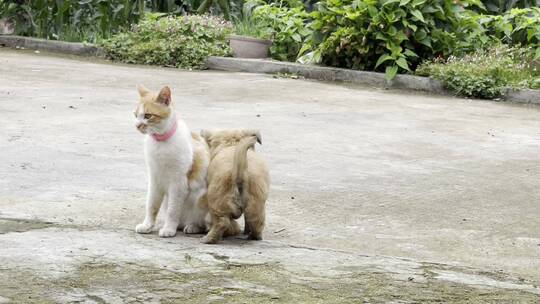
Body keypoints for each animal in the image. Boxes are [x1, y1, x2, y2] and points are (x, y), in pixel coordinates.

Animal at [133, 84, 209, 236]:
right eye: (135, 115)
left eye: (147, 116)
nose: (137, 125)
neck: (160, 142)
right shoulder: (154, 178)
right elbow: (151, 204)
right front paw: (147, 225)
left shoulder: (178, 182)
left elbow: (173, 210)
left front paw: (168, 228)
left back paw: (193, 226)